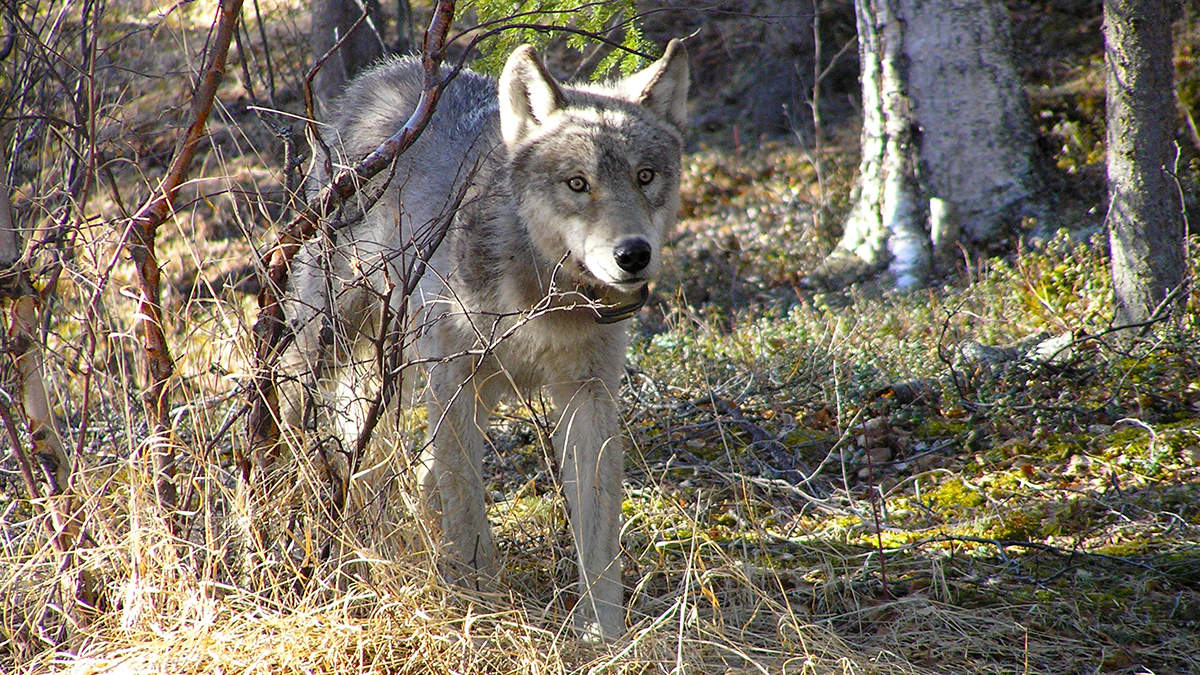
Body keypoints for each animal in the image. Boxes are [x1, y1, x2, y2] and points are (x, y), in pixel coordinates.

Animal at [279, 40, 689, 640]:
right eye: (577, 183)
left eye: (645, 176)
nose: (633, 255)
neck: (547, 295)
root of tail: (381, 74)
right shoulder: (455, 383)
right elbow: (470, 511)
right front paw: (481, 607)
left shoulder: (588, 395)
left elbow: (597, 529)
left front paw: (603, 635)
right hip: (333, 346)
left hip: (425, 377)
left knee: (406, 467)